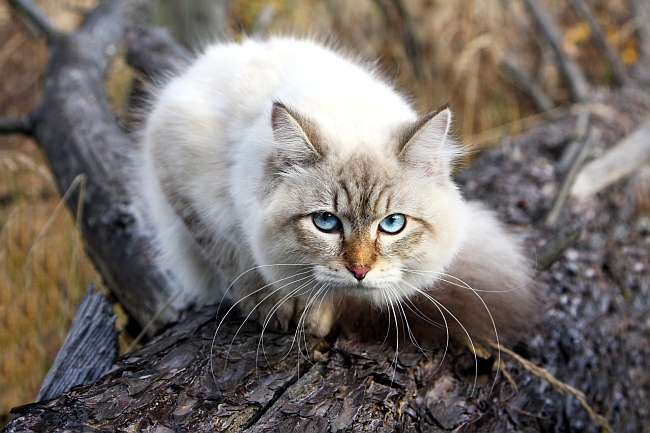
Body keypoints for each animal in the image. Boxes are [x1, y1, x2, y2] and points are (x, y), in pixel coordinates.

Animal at [137, 35, 536, 346]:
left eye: (392, 224)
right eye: (326, 222)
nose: (360, 271)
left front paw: (314, 315)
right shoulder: (185, 182)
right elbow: (237, 259)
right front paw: (274, 305)